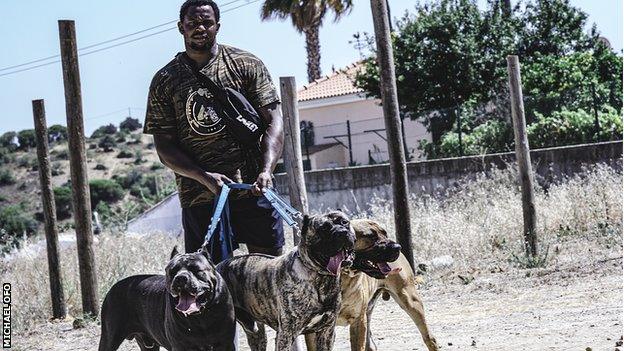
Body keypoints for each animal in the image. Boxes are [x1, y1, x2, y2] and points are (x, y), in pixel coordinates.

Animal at [98, 246, 235, 350]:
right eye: (172, 271)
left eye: (196, 269)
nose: (180, 278)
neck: (201, 316)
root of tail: (113, 287)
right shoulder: (181, 346)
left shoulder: (225, 344)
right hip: (109, 339)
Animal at [217, 212, 356, 351]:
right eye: (323, 228)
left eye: (344, 222)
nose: (342, 232)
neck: (320, 277)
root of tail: (217, 267)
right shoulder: (287, 333)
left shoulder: (327, 331)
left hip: (255, 331)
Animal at [336, 220, 438, 351]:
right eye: (370, 236)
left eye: (385, 233)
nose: (397, 247)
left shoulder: (358, 321)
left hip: (411, 301)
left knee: (430, 338)